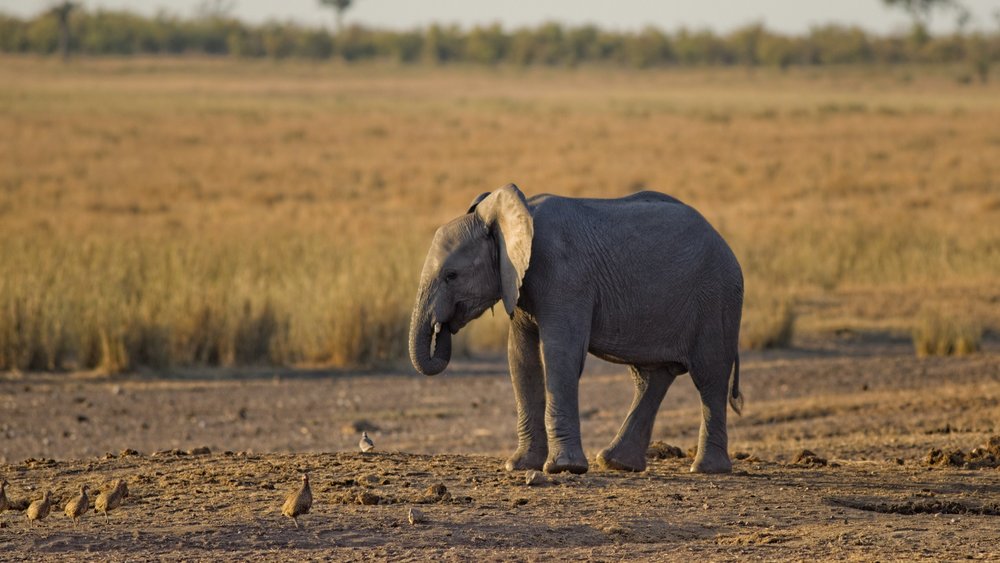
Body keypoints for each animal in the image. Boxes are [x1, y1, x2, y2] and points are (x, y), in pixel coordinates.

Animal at [408, 183, 744, 475]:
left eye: (451, 275)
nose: (442, 328)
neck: (509, 215)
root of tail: (726, 245)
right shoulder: (518, 282)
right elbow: (521, 357)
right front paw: (520, 466)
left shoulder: (563, 274)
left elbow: (561, 355)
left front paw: (563, 468)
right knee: (651, 377)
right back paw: (615, 463)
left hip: (717, 298)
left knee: (710, 376)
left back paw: (706, 469)